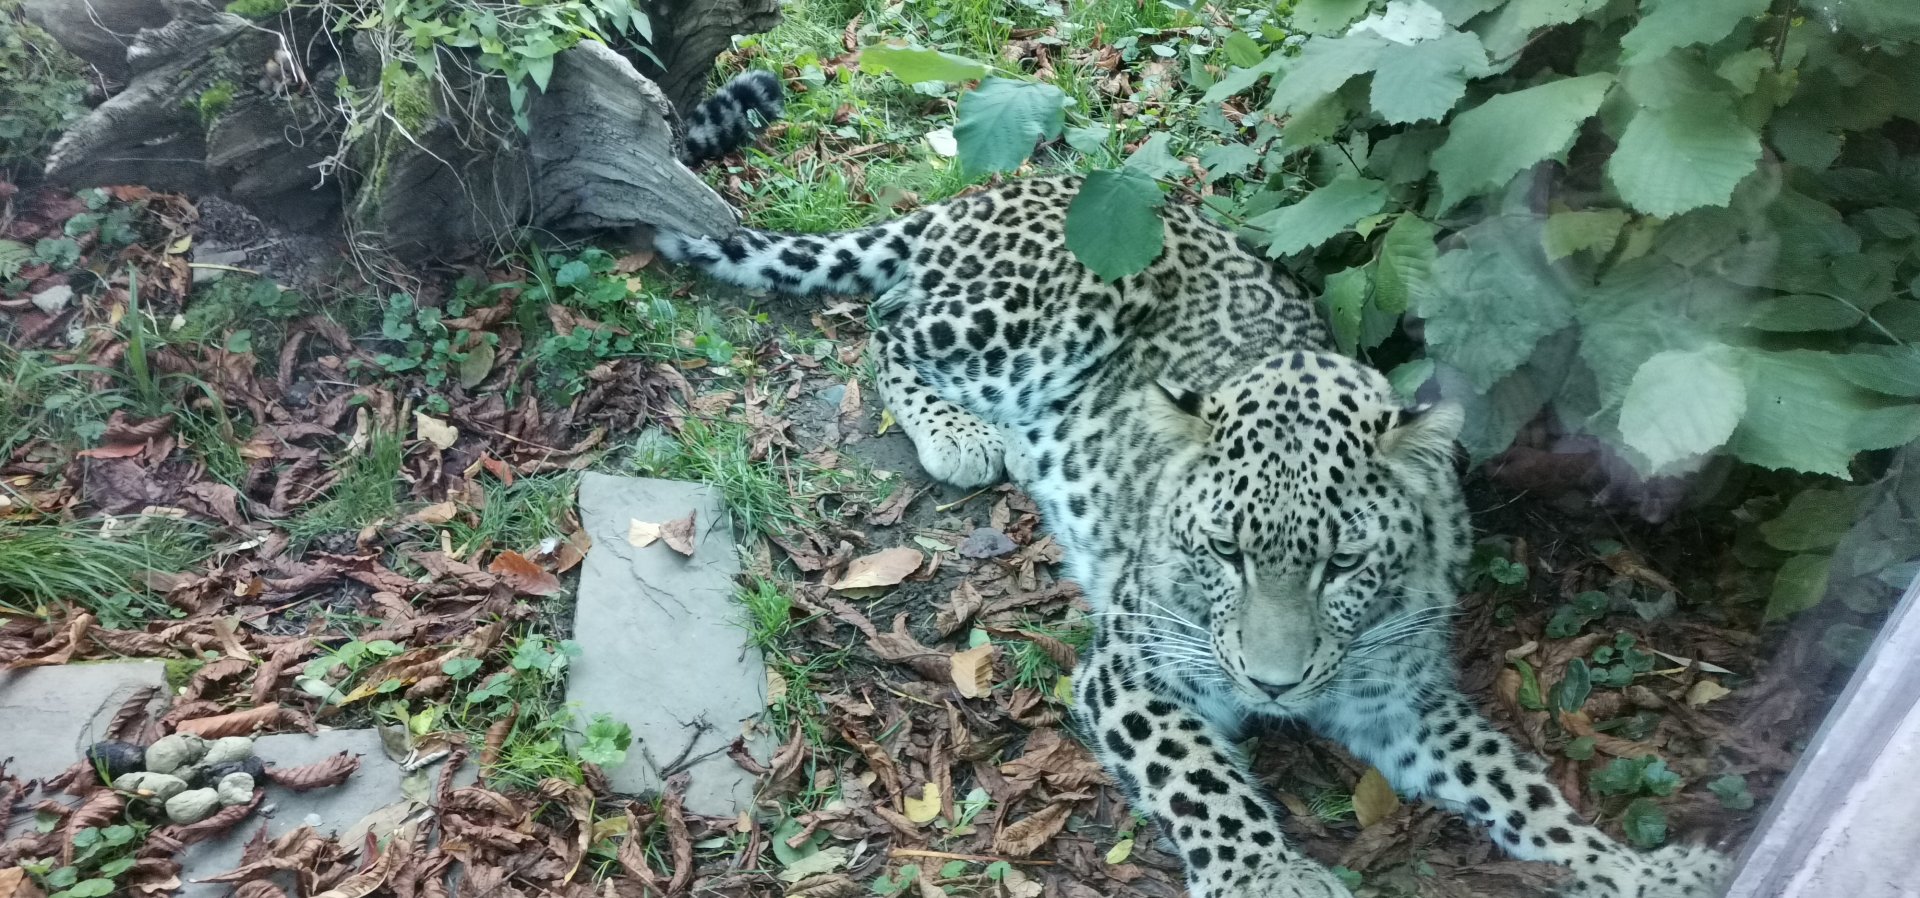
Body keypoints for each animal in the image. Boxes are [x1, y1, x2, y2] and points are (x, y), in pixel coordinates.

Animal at [654, 175, 1730, 898]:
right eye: (1224, 553)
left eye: (1344, 564)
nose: (1275, 685)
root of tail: (1006, 183)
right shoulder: (1131, 670)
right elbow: (1207, 784)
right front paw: (1271, 875)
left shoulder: (1404, 701)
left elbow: (1520, 789)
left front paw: (1638, 868)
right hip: (1034, 308)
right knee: (888, 320)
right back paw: (960, 433)